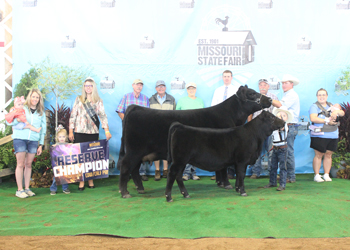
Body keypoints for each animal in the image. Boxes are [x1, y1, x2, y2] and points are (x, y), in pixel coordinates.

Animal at [117, 86, 270, 197]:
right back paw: (125, 192)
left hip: (138, 153)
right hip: (134, 150)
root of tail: (134, 107)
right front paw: (226, 184)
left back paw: (140, 189)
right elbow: (223, 168)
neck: (231, 116)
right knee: (126, 166)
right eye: (252, 93)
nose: (268, 99)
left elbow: (220, 168)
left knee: (134, 169)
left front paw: (220, 183)